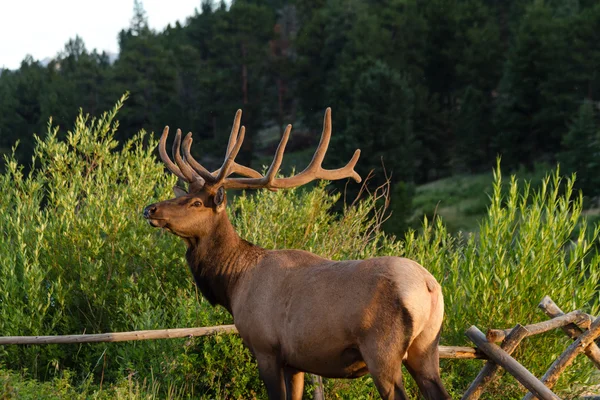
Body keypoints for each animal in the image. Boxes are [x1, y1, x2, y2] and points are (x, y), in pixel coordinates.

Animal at [142, 109, 450, 400]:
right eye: (182, 194)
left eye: (196, 202)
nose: (150, 209)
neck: (233, 283)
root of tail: (429, 286)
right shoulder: (296, 361)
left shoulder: (266, 348)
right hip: (426, 347)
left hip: (381, 349)